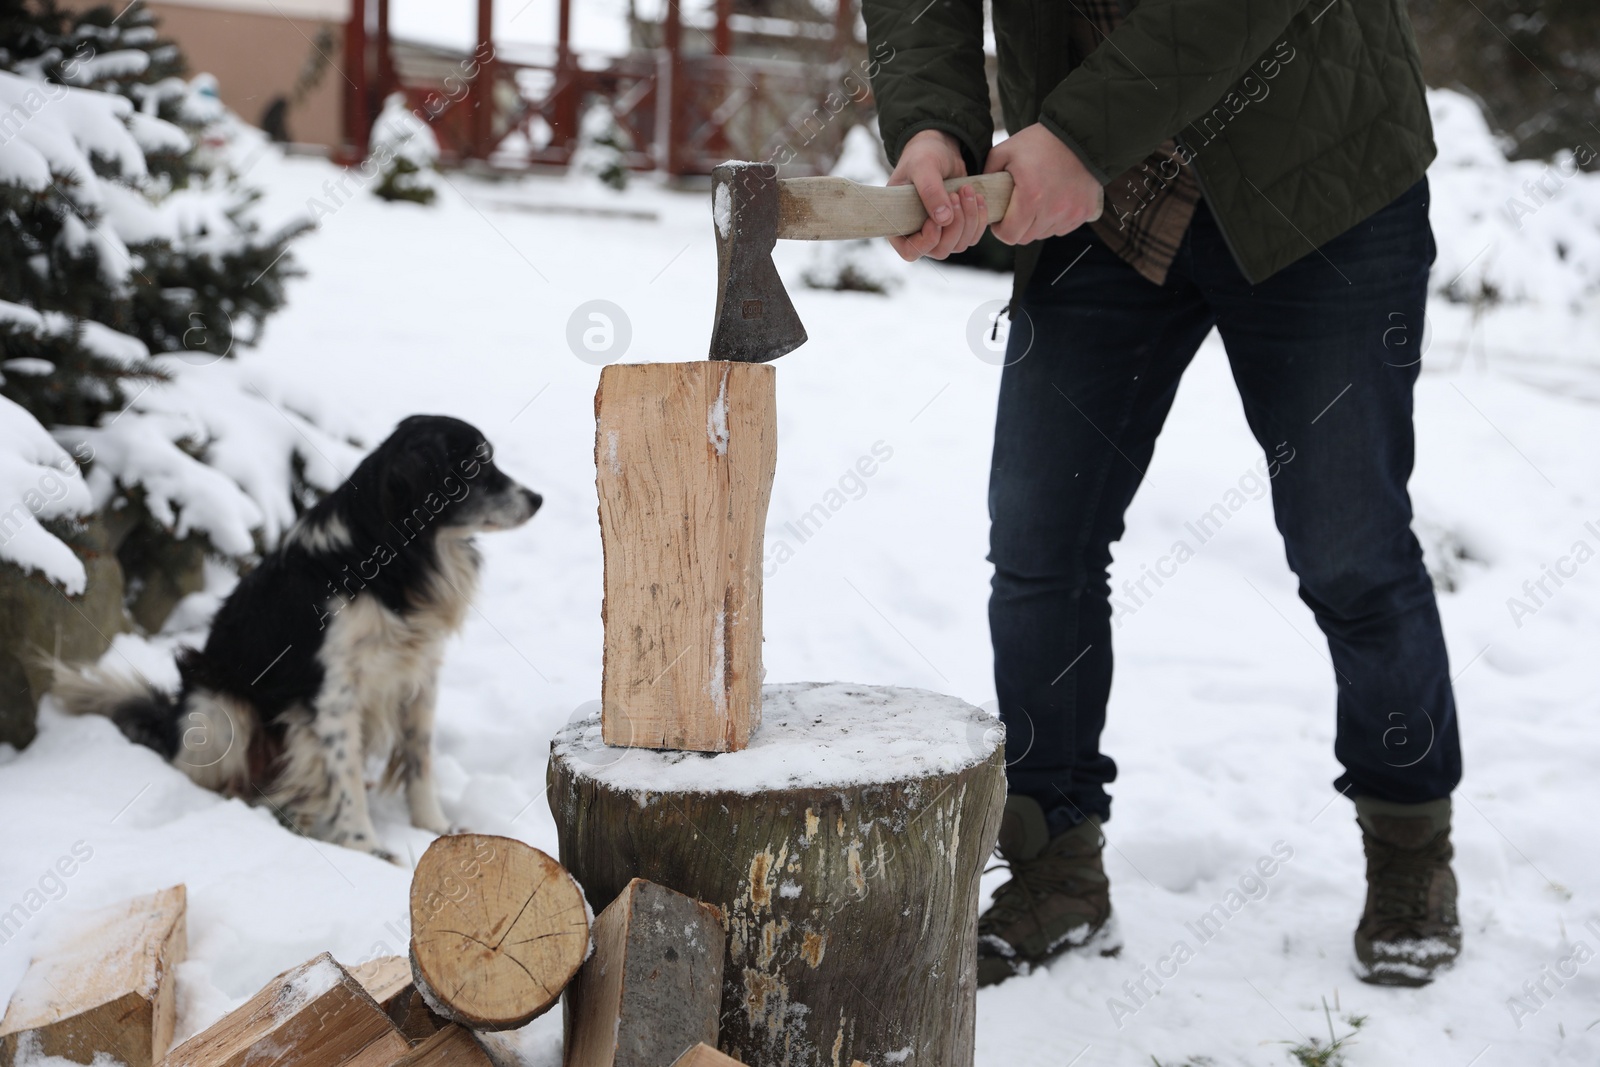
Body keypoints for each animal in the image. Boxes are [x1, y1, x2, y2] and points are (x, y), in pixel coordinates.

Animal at [56, 415, 544, 857]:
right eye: (476, 466)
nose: (538, 499)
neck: (395, 556)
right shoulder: (332, 691)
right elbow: (345, 774)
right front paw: (364, 845)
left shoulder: (419, 675)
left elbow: (418, 760)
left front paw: (433, 828)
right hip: (220, 707)